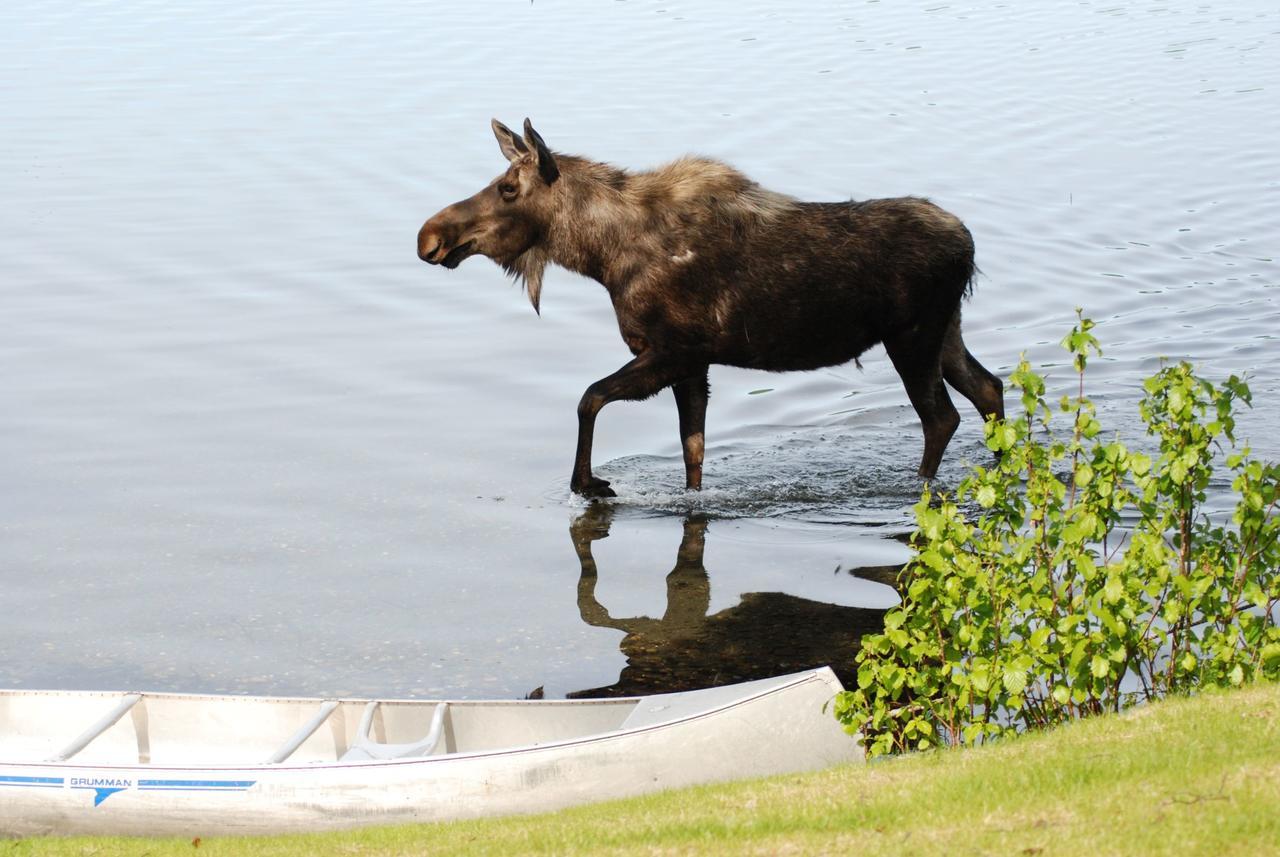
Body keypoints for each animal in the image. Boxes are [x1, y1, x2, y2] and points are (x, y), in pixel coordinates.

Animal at [414, 117, 1003, 501]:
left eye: (508, 188)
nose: (429, 237)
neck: (601, 257)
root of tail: (969, 245)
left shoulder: (671, 351)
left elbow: (588, 398)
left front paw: (588, 483)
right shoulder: (693, 363)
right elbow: (692, 451)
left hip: (913, 335)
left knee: (942, 416)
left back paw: (919, 491)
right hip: (946, 330)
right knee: (988, 389)